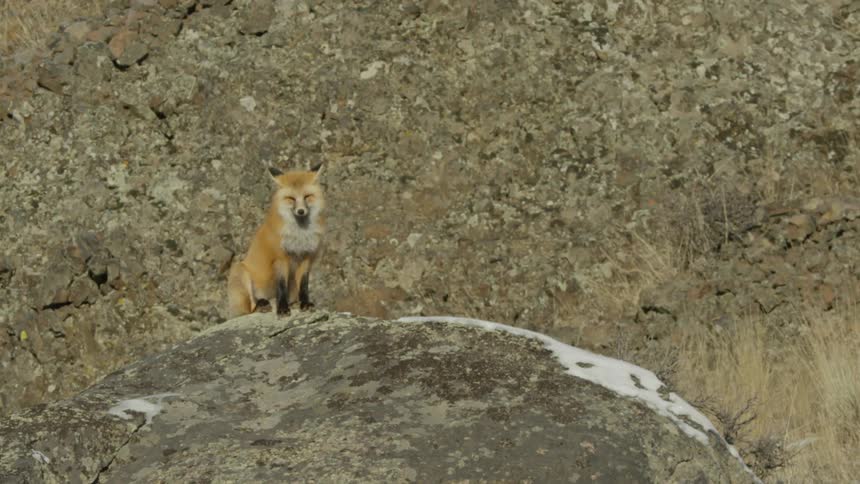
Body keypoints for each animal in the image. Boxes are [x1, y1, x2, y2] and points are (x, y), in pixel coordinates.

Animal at [227, 162, 325, 318]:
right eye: (291, 198)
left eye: (307, 196)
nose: (301, 211)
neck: (300, 235)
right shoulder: (280, 258)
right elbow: (281, 286)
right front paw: (283, 309)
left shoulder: (306, 257)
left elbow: (304, 286)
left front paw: (305, 303)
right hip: (240, 271)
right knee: (249, 309)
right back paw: (261, 305)